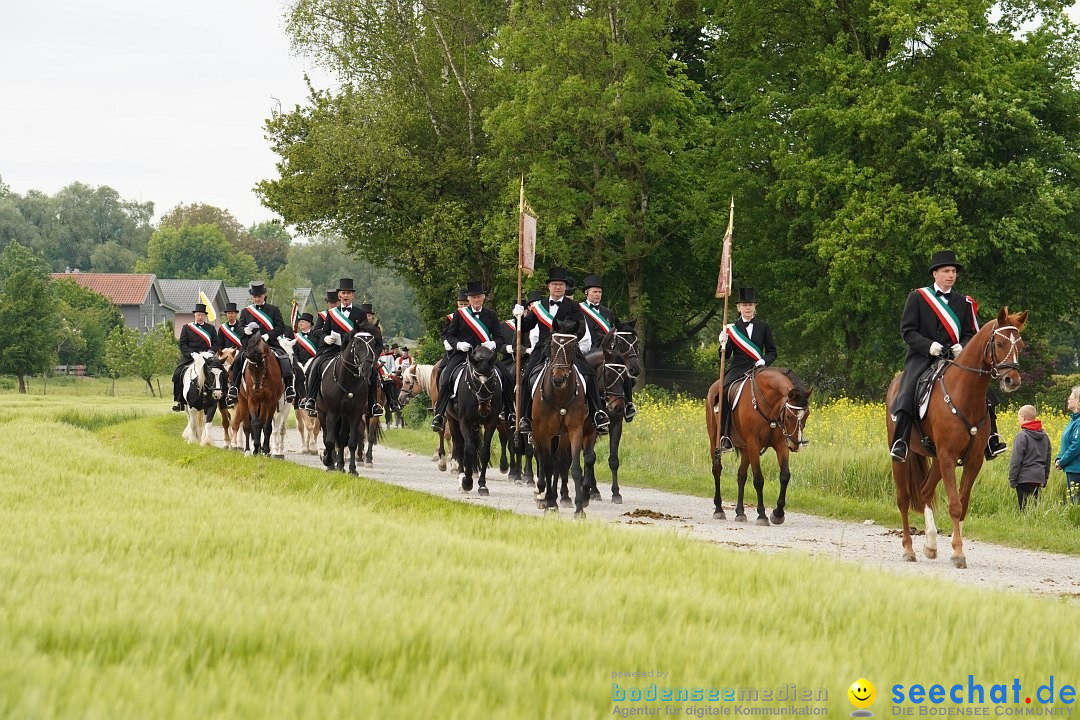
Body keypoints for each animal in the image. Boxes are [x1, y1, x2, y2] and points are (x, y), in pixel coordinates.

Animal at [315, 325, 380, 472]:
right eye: (357, 343)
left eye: (373, 343)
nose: (366, 369)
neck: (347, 381)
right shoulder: (332, 412)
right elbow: (329, 440)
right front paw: (329, 462)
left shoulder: (355, 413)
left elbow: (351, 442)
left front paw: (352, 469)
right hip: (322, 412)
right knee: (327, 435)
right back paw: (331, 461)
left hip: (345, 415)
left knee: (342, 436)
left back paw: (340, 464)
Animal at [442, 343, 501, 496]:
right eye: (475, 380)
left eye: (492, 379)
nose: (484, 408)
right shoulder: (464, 421)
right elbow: (468, 450)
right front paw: (467, 483)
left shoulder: (491, 423)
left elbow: (484, 452)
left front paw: (482, 485)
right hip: (452, 419)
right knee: (459, 446)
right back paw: (461, 477)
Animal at [699, 369, 812, 526]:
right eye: (789, 416)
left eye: (807, 414)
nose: (795, 444)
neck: (769, 406)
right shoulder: (753, 444)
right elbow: (758, 480)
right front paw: (762, 515)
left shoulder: (781, 445)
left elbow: (785, 476)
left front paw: (778, 513)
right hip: (714, 440)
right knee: (717, 469)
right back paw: (719, 509)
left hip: (746, 449)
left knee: (741, 475)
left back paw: (740, 512)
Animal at [885, 306, 1028, 565]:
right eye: (1000, 343)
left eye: (1020, 345)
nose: (1012, 380)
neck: (965, 394)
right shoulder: (948, 457)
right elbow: (954, 504)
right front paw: (958, 553)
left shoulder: (973, 460)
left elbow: (963, 503)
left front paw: (955, 547)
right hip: (902, 456)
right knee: (903, 499)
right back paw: (909, 549)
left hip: (937, 461)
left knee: (924, 491)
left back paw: (930, 545)